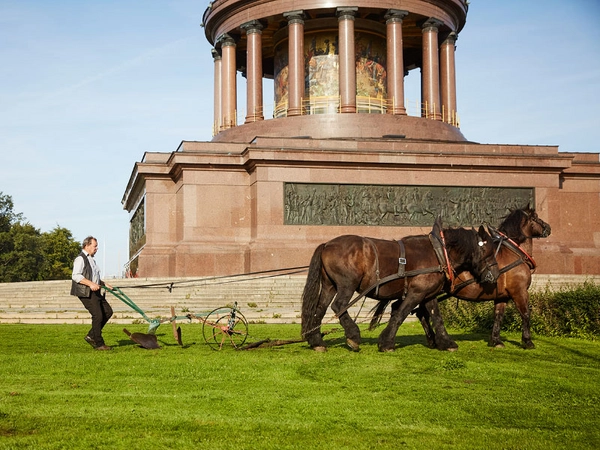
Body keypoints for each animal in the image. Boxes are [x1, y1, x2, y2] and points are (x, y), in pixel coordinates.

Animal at [300, 220, 502, 354]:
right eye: (488, 251)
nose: (496, 274)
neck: (438, 253)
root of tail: (327, 244)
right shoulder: (416, 293)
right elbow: (400, 314)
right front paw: (386, 342)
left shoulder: (428, 294)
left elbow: (437, 317)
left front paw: (447, 342)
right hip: (347, 285)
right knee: (339, 306)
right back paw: (353, 335)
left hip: (330, 285)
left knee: (320, 309)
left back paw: (317, 341)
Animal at [412, 206, 552, 350]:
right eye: (536, 217)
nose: (548, 227)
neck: (512, 251)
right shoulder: (519, 292)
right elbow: (525, 314)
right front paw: (527, 340)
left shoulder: (502, 296)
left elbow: (498, 316)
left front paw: (495, 340)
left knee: (421, 313)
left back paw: (432, 340)